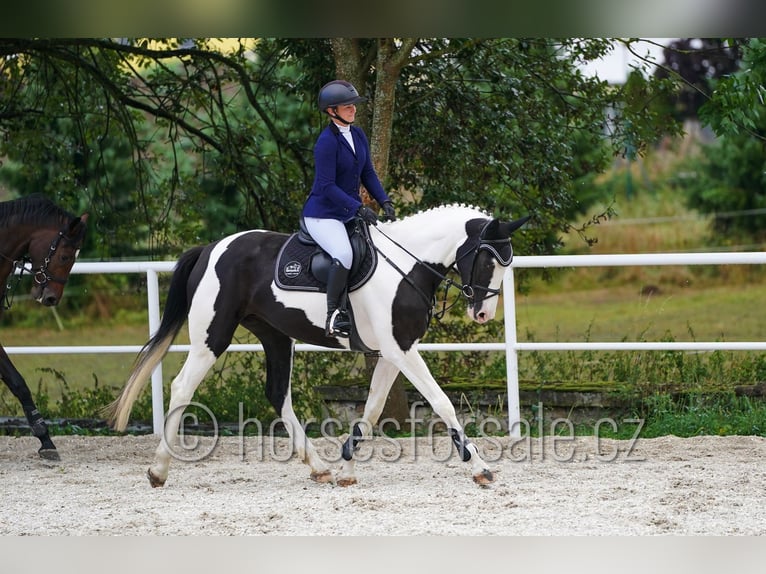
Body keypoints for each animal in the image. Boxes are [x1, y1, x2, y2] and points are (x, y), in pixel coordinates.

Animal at [106, 204, 528, 487]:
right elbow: (441, 403)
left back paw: (319, 467)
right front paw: (479, 467)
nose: (482, 315)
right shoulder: (401, 349)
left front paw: (347, 469)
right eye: (488, 261)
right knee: (182, 387)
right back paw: (158, 470)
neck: (406, 266)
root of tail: (210, 249)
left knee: (277, 394)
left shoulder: (394, 352)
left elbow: (371, 411)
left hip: (275, 336)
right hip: (213, 335)